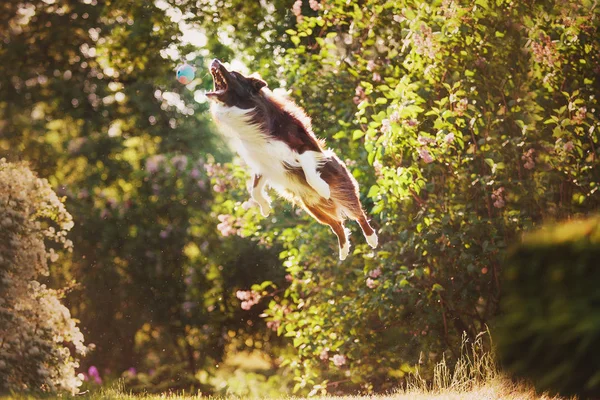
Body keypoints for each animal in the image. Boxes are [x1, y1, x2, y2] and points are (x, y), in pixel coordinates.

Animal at [206, 59, 376, 260]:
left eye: (234, 73)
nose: (215, 60)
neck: (249, 113)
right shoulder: (263, 164)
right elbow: (254, 191)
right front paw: (265, 208)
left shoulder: (306, 146)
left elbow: (309, 170)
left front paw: (322, 187)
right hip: (312, 208)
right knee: (337, 225)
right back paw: (343, 250)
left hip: (341, 189)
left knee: (358, 213)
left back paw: (372, 238)